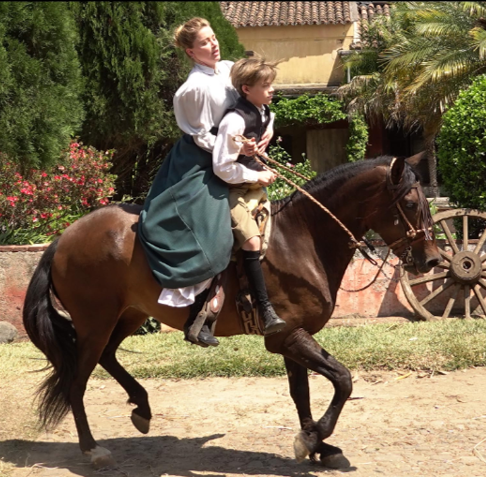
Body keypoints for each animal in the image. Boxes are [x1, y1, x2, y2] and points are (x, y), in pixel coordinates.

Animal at [21, 153, 440, 468]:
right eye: (410, 204)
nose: (432, 260)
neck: (302, 238)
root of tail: (63, 237)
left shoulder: (291, 339)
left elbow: (302, 393)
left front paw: (317, 444)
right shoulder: (286, 336)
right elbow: (343, 379)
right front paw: (313, 439)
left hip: (128, 315)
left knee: (108, 357)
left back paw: (141, 407)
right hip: (95, 322)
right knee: (77, 384)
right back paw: (92, 449)